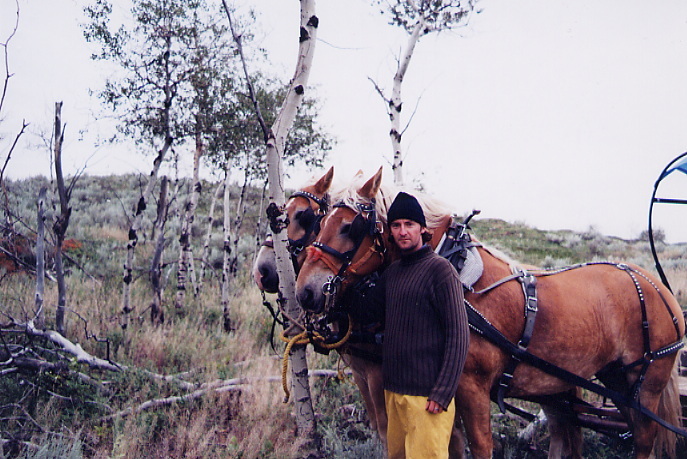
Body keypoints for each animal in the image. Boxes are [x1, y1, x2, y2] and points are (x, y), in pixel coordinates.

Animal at [295, 167, 686, 459]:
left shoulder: (471, 389)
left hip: (645, 385)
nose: (305, 291)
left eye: (350, 227)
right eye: (320, 222)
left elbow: (479, 447)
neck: (451, 269)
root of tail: (658, 288)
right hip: (611, 380)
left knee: (643, 440)